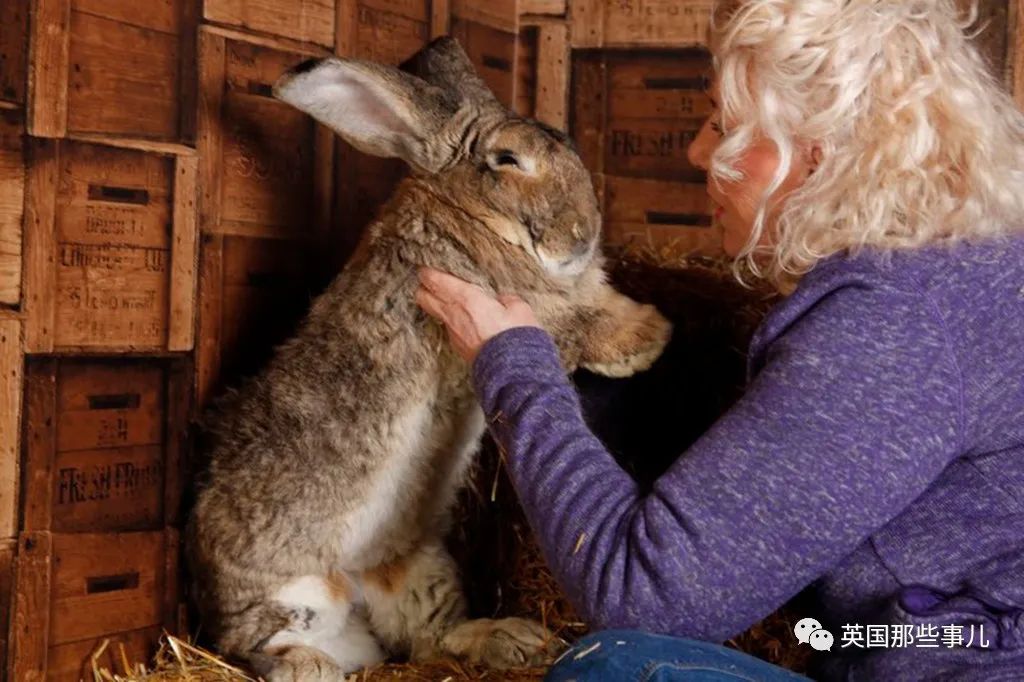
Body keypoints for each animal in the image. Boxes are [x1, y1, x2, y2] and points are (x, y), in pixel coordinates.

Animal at [188, 35, 671, 679]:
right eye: (508, 160)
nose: (582, 234)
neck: (470, 218)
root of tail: (354, 590)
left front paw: (648, 325)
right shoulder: (512, 307)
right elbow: (575, 325)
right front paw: (648, 337)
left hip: (419, 569)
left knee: (431, 639)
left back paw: (514, 639)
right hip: (293, 598)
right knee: (257, 645)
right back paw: (310, 665)